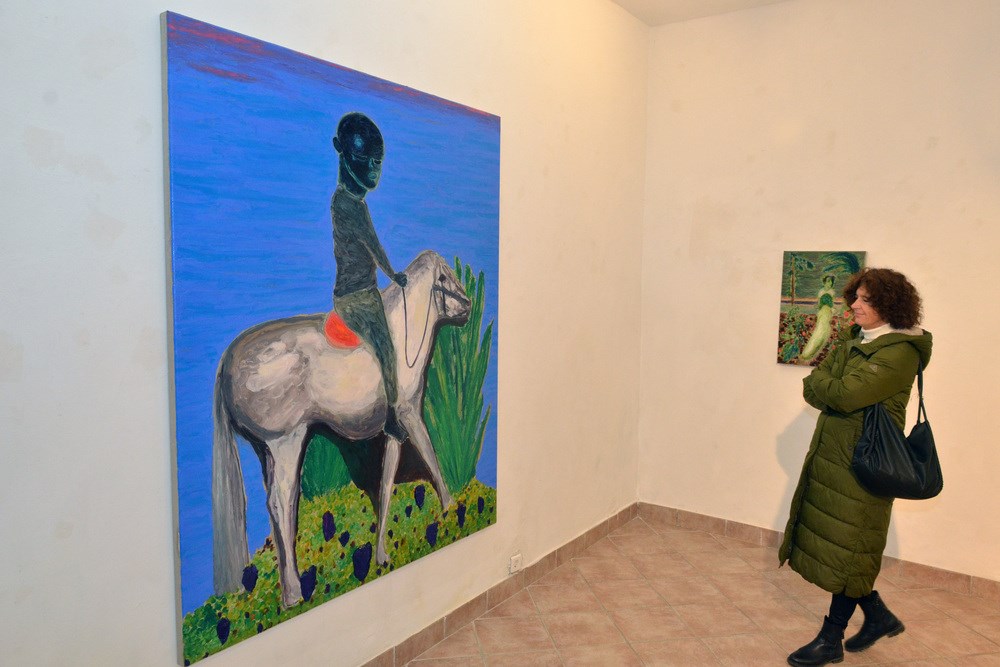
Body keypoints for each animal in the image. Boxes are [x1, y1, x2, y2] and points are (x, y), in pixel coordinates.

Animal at [211, 250, 471, 608]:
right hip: (286, 441)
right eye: (445, 278)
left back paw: (288, 585)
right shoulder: (409, 414)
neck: (402, 327)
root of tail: (228, 360)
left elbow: (386, 481)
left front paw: (381, 554)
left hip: (265, 451)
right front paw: (450, 507)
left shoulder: (392, 429)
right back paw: (294, 592)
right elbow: (430, 456)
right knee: (281, 500)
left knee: (278, 506)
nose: (468, 305)